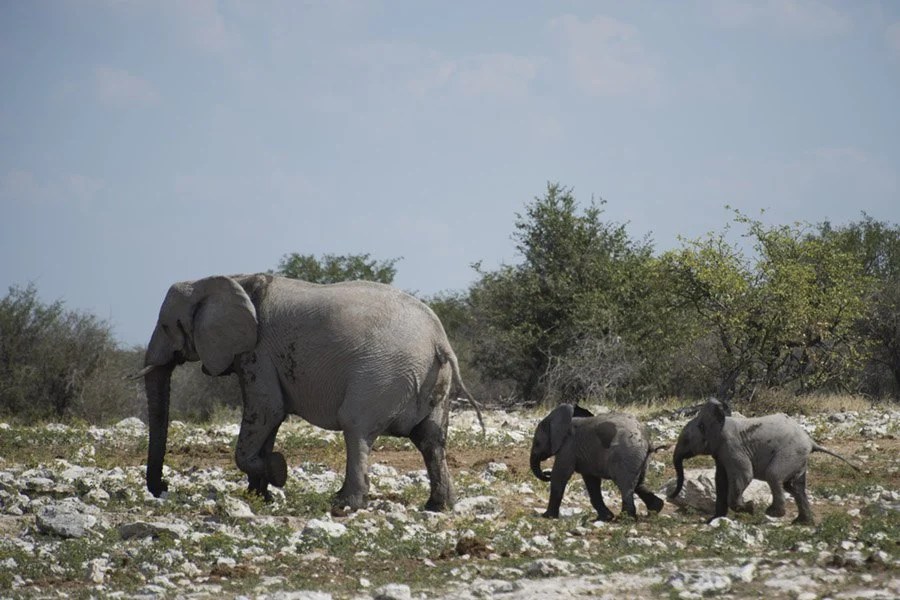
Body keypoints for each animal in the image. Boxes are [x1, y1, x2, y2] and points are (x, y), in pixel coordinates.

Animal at [134, 273, 483, 512]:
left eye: (166, 326)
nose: (162, 486)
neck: (229, 279)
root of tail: (439, 340)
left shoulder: (256, 352)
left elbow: (267, 410)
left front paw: (277, 471)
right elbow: (269, 421)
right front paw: (260, 495)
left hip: (382, 374)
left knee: (356, 427)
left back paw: (344, 504)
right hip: (433, 381)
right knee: (430, 439)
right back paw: (438, 506)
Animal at [530, 404, 665, 521]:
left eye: (537, 443)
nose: (546, 472)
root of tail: (647, 441)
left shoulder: (568, 446)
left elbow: (560, 475)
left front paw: (547, 516)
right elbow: (591, 481)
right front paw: (606, 518)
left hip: (627, 454)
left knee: (625, 485)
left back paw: (625, 519)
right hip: (638, 458)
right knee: (638, 484)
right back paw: (654, 510)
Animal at [669, 398, 860, 524]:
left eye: (685, 440)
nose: (670, 496)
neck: (719, 421)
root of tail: (811, 442)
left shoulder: (733, 448)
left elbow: (744, 475)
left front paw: (750, 508)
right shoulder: (721, 453)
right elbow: (720, 481)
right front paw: (713, 520)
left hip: (790, 453)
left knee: (774, 476)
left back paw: (773, 513)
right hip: (799, 458)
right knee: (794, 486)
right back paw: (801, 522)